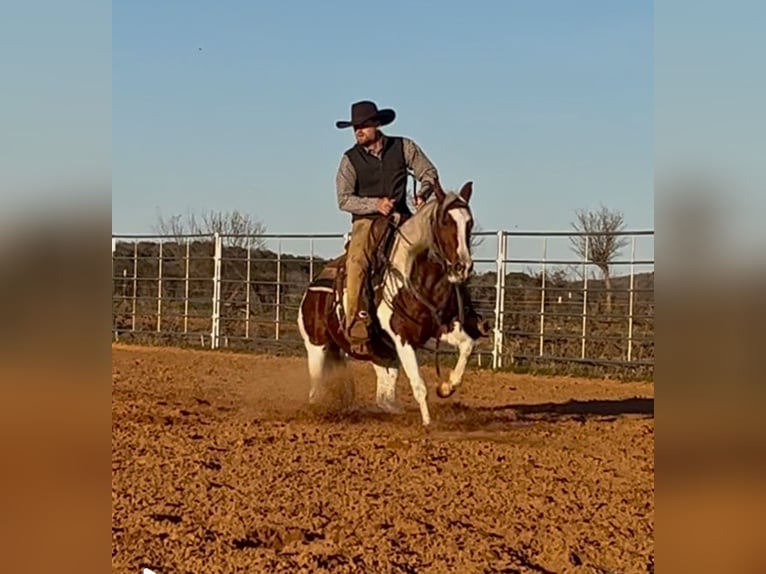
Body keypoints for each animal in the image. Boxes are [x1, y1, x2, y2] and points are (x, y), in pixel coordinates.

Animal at [296, 181, 488, 428]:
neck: (415, 279)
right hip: (316, 345)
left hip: (377, 351)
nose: (462, 267)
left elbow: (468, 346)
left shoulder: (441, 329)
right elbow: (419, 385)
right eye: (445, 221)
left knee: (384, 394)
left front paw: (446, 387)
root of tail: (311, 290)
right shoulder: (402, 338)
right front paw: (428, 423)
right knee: (316, 389)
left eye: (469, 222)